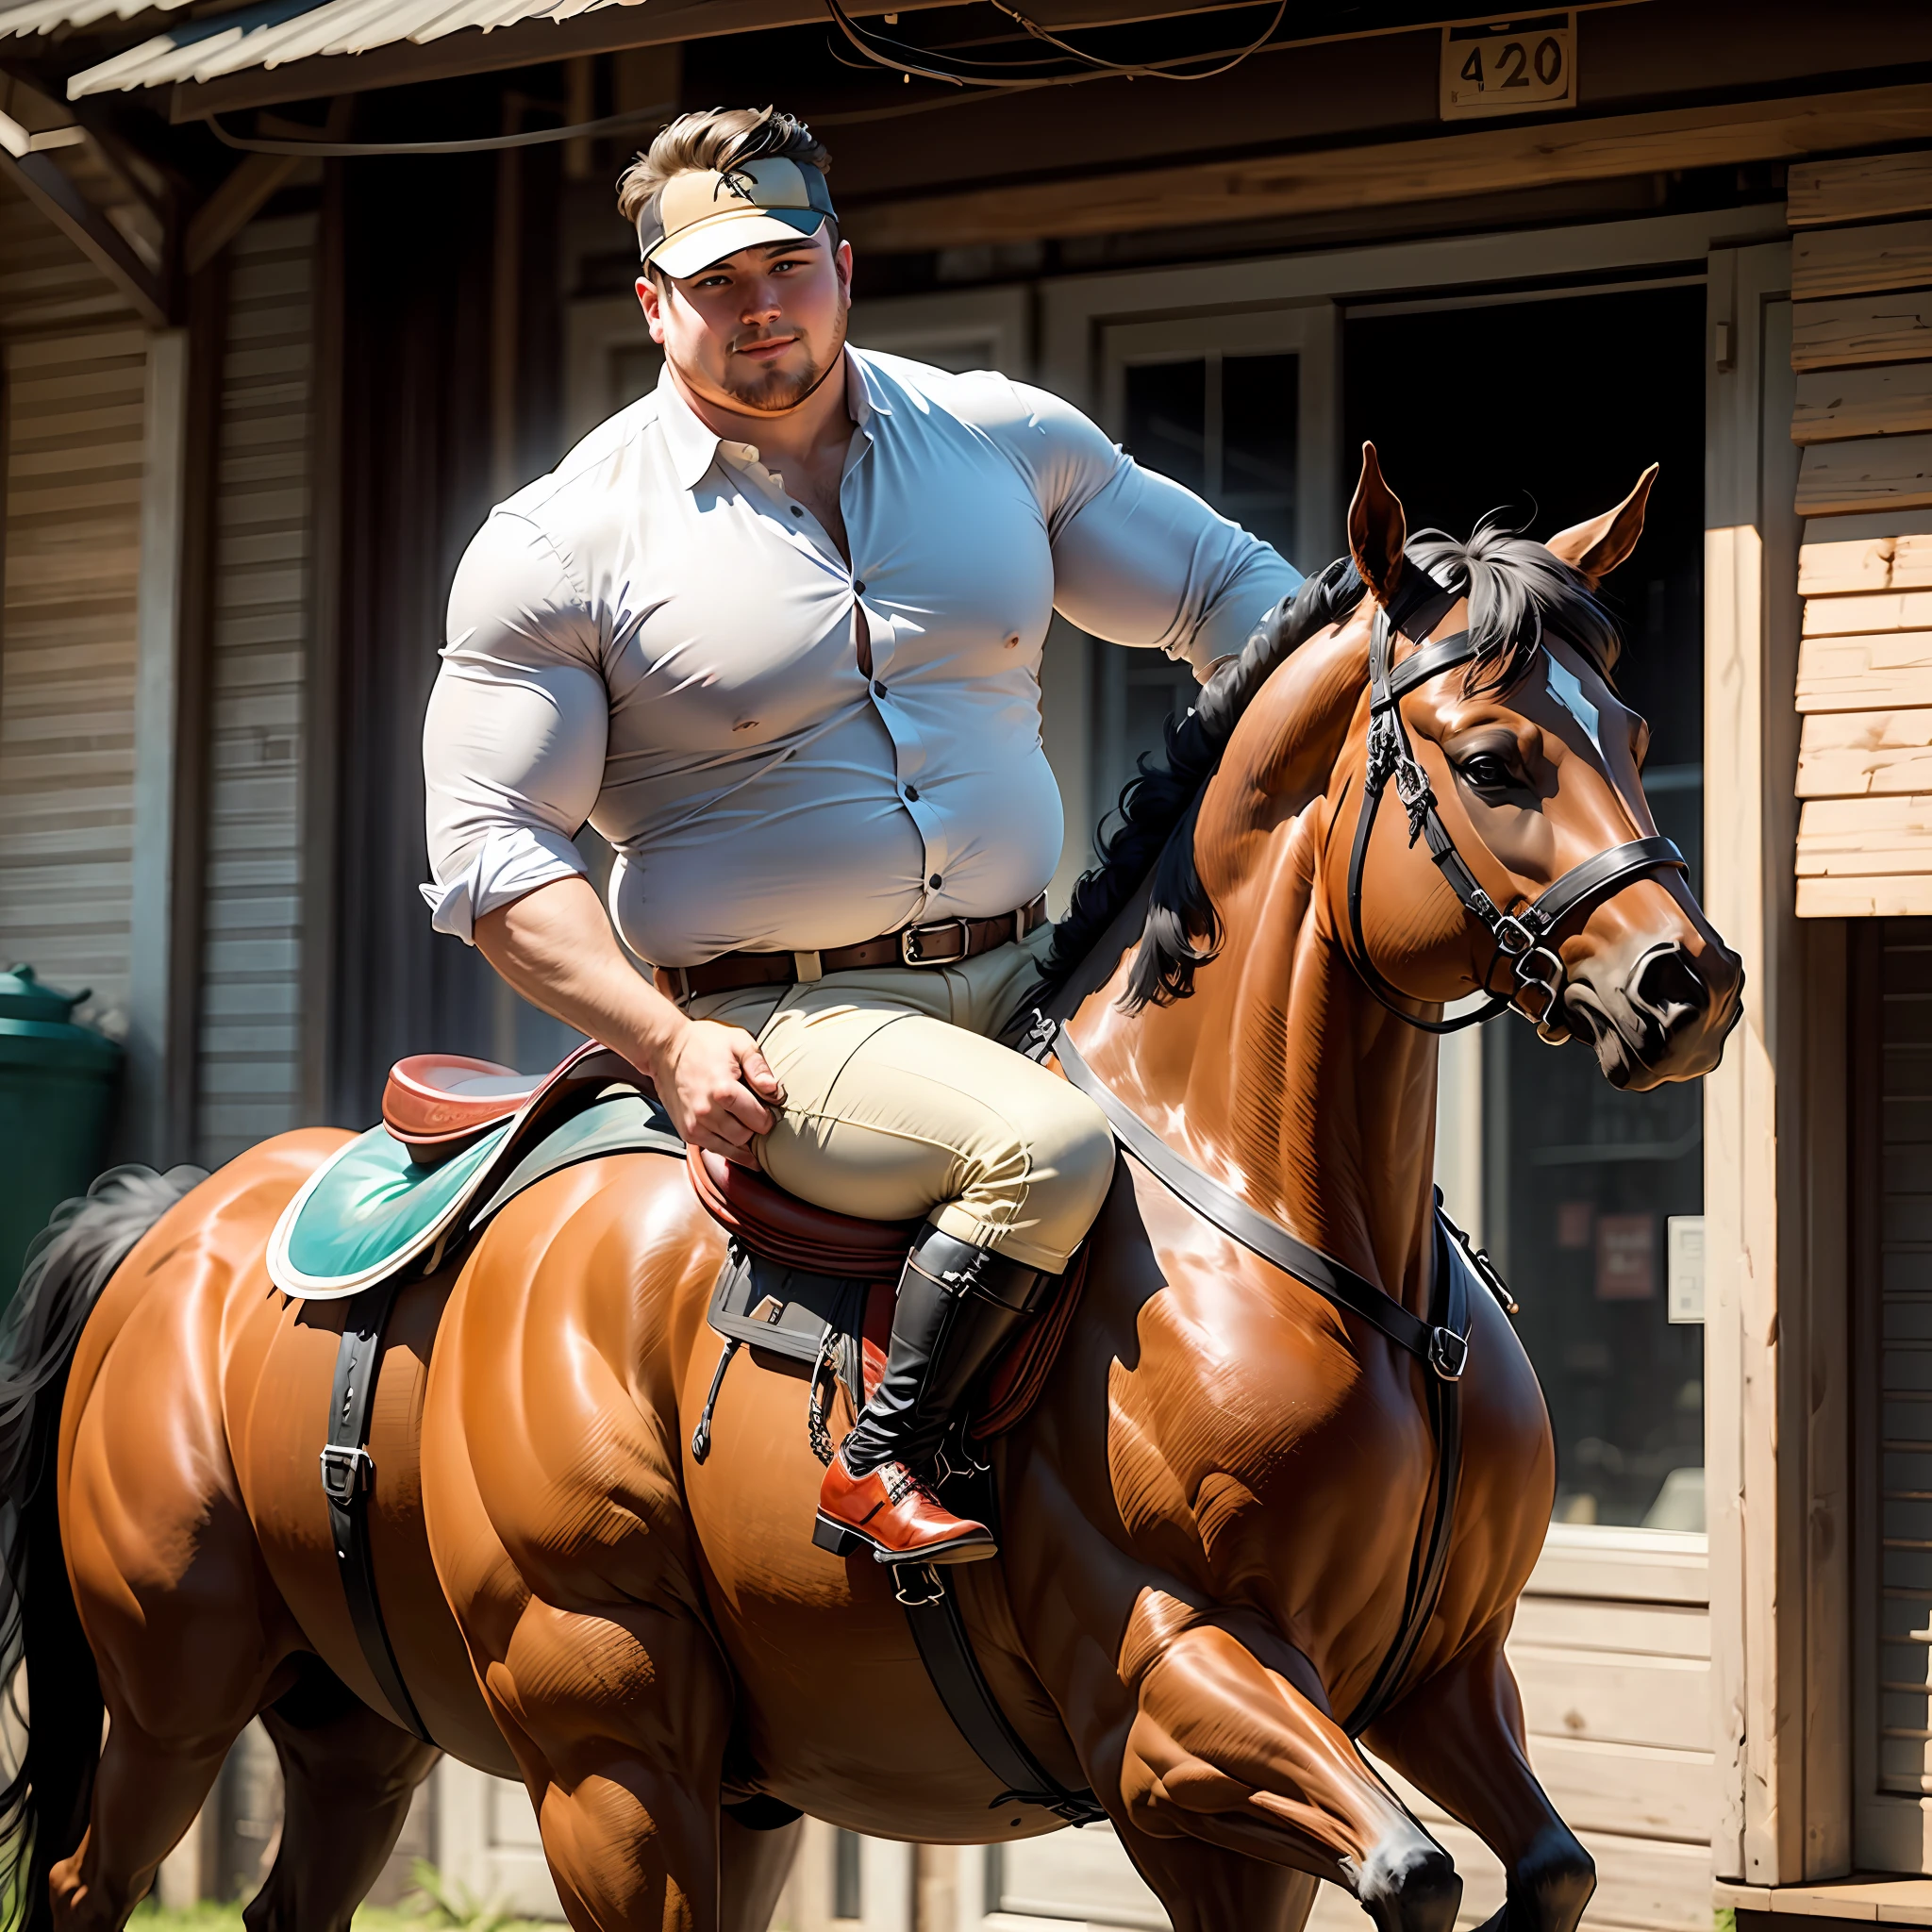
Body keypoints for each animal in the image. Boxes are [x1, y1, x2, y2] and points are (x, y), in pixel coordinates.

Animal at [0, 456, 1746, 1932]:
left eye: (1629, 726)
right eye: (1493, 757)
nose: (1691, 985)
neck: (1303, 1238)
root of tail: (181, 1216)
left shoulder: (1442, 1676)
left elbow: (1552, 1867)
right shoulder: (1176, 1691)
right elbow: (1411, 1870)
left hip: (418, 1738)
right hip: (445, 1724)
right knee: (90, 1881)